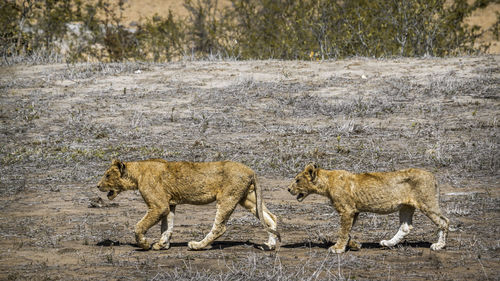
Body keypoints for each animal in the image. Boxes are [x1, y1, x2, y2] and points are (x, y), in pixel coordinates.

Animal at [95, 160, 280, 249]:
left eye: (107, 175)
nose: (97, 186)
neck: (137, 173)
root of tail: (251, 170)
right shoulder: (169, 205)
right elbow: (167, 227)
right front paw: (162, 244)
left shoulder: (158, 205)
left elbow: (139, 226)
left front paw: (144, 244)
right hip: (248, 199)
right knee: (271, 217)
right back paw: (270, 245)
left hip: (228, 198)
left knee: (219, 228)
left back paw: (197, 245)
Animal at [290, 161, 450, 253]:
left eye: (297, 180)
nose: (288, 189)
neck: (327, 181)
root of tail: (433, 176)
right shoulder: (354, 211)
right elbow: (347, 231)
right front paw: (354, 245)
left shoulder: (347, 210)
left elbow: (343, 231)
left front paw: (337, 248)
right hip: (406, 206)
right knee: (405, 227)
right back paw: (388, 243)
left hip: (427, 203)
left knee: (444, 221)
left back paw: (439, 245)